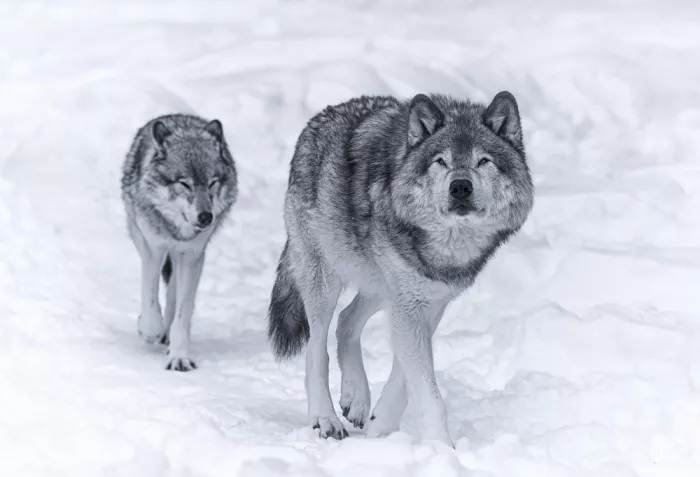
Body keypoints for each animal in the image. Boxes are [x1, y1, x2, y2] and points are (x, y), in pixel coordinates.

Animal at [121, 113, 238, 371]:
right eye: (184, 183)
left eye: (212, 182)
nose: (206, 217)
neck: (178, 232)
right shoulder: (153, 249)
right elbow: (150, 295)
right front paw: (149, 330)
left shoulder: (192, 255)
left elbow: (183, 313)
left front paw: (179, 356)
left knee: (174, 293)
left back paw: (167, 335)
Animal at [267, 92, 533, 445]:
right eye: (441, 161)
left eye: (483, 161)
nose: (460, 186)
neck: (448, 247)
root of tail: (318, 120)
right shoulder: (410, 305)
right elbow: (428, 394)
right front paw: (442, 448)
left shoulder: (430, 303)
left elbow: (406, 379)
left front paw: (381, 425)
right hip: (326, 279)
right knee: (316, 347)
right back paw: (325, 418)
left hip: (380, 286)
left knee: (346, 320)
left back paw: (357, 398)